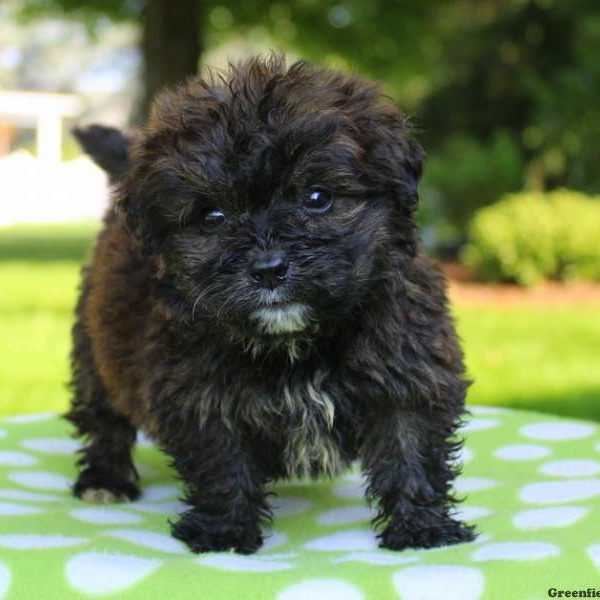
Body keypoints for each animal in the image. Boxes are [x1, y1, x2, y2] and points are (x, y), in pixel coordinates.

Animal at [68, 55, 476, 552]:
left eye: (317, 197)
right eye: (213, 216)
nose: (268, 268)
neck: (296, 344)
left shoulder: (409, 369)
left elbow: (410, 447)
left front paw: (422, 527)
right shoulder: (200, 390)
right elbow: (221, 459)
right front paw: (224, 529)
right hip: (96, 346)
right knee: (103, 414)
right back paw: (106, 478)